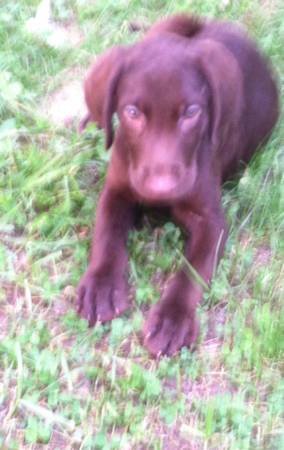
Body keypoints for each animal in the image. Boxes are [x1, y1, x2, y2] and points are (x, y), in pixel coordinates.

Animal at [76, 15, 278, 356]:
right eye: (132, 112)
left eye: (192, 112)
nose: (161, 189)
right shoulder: (117, 190)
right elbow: (107, 234)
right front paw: (101, 285)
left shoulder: (211, 221)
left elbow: (192, 272)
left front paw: (172, 319)